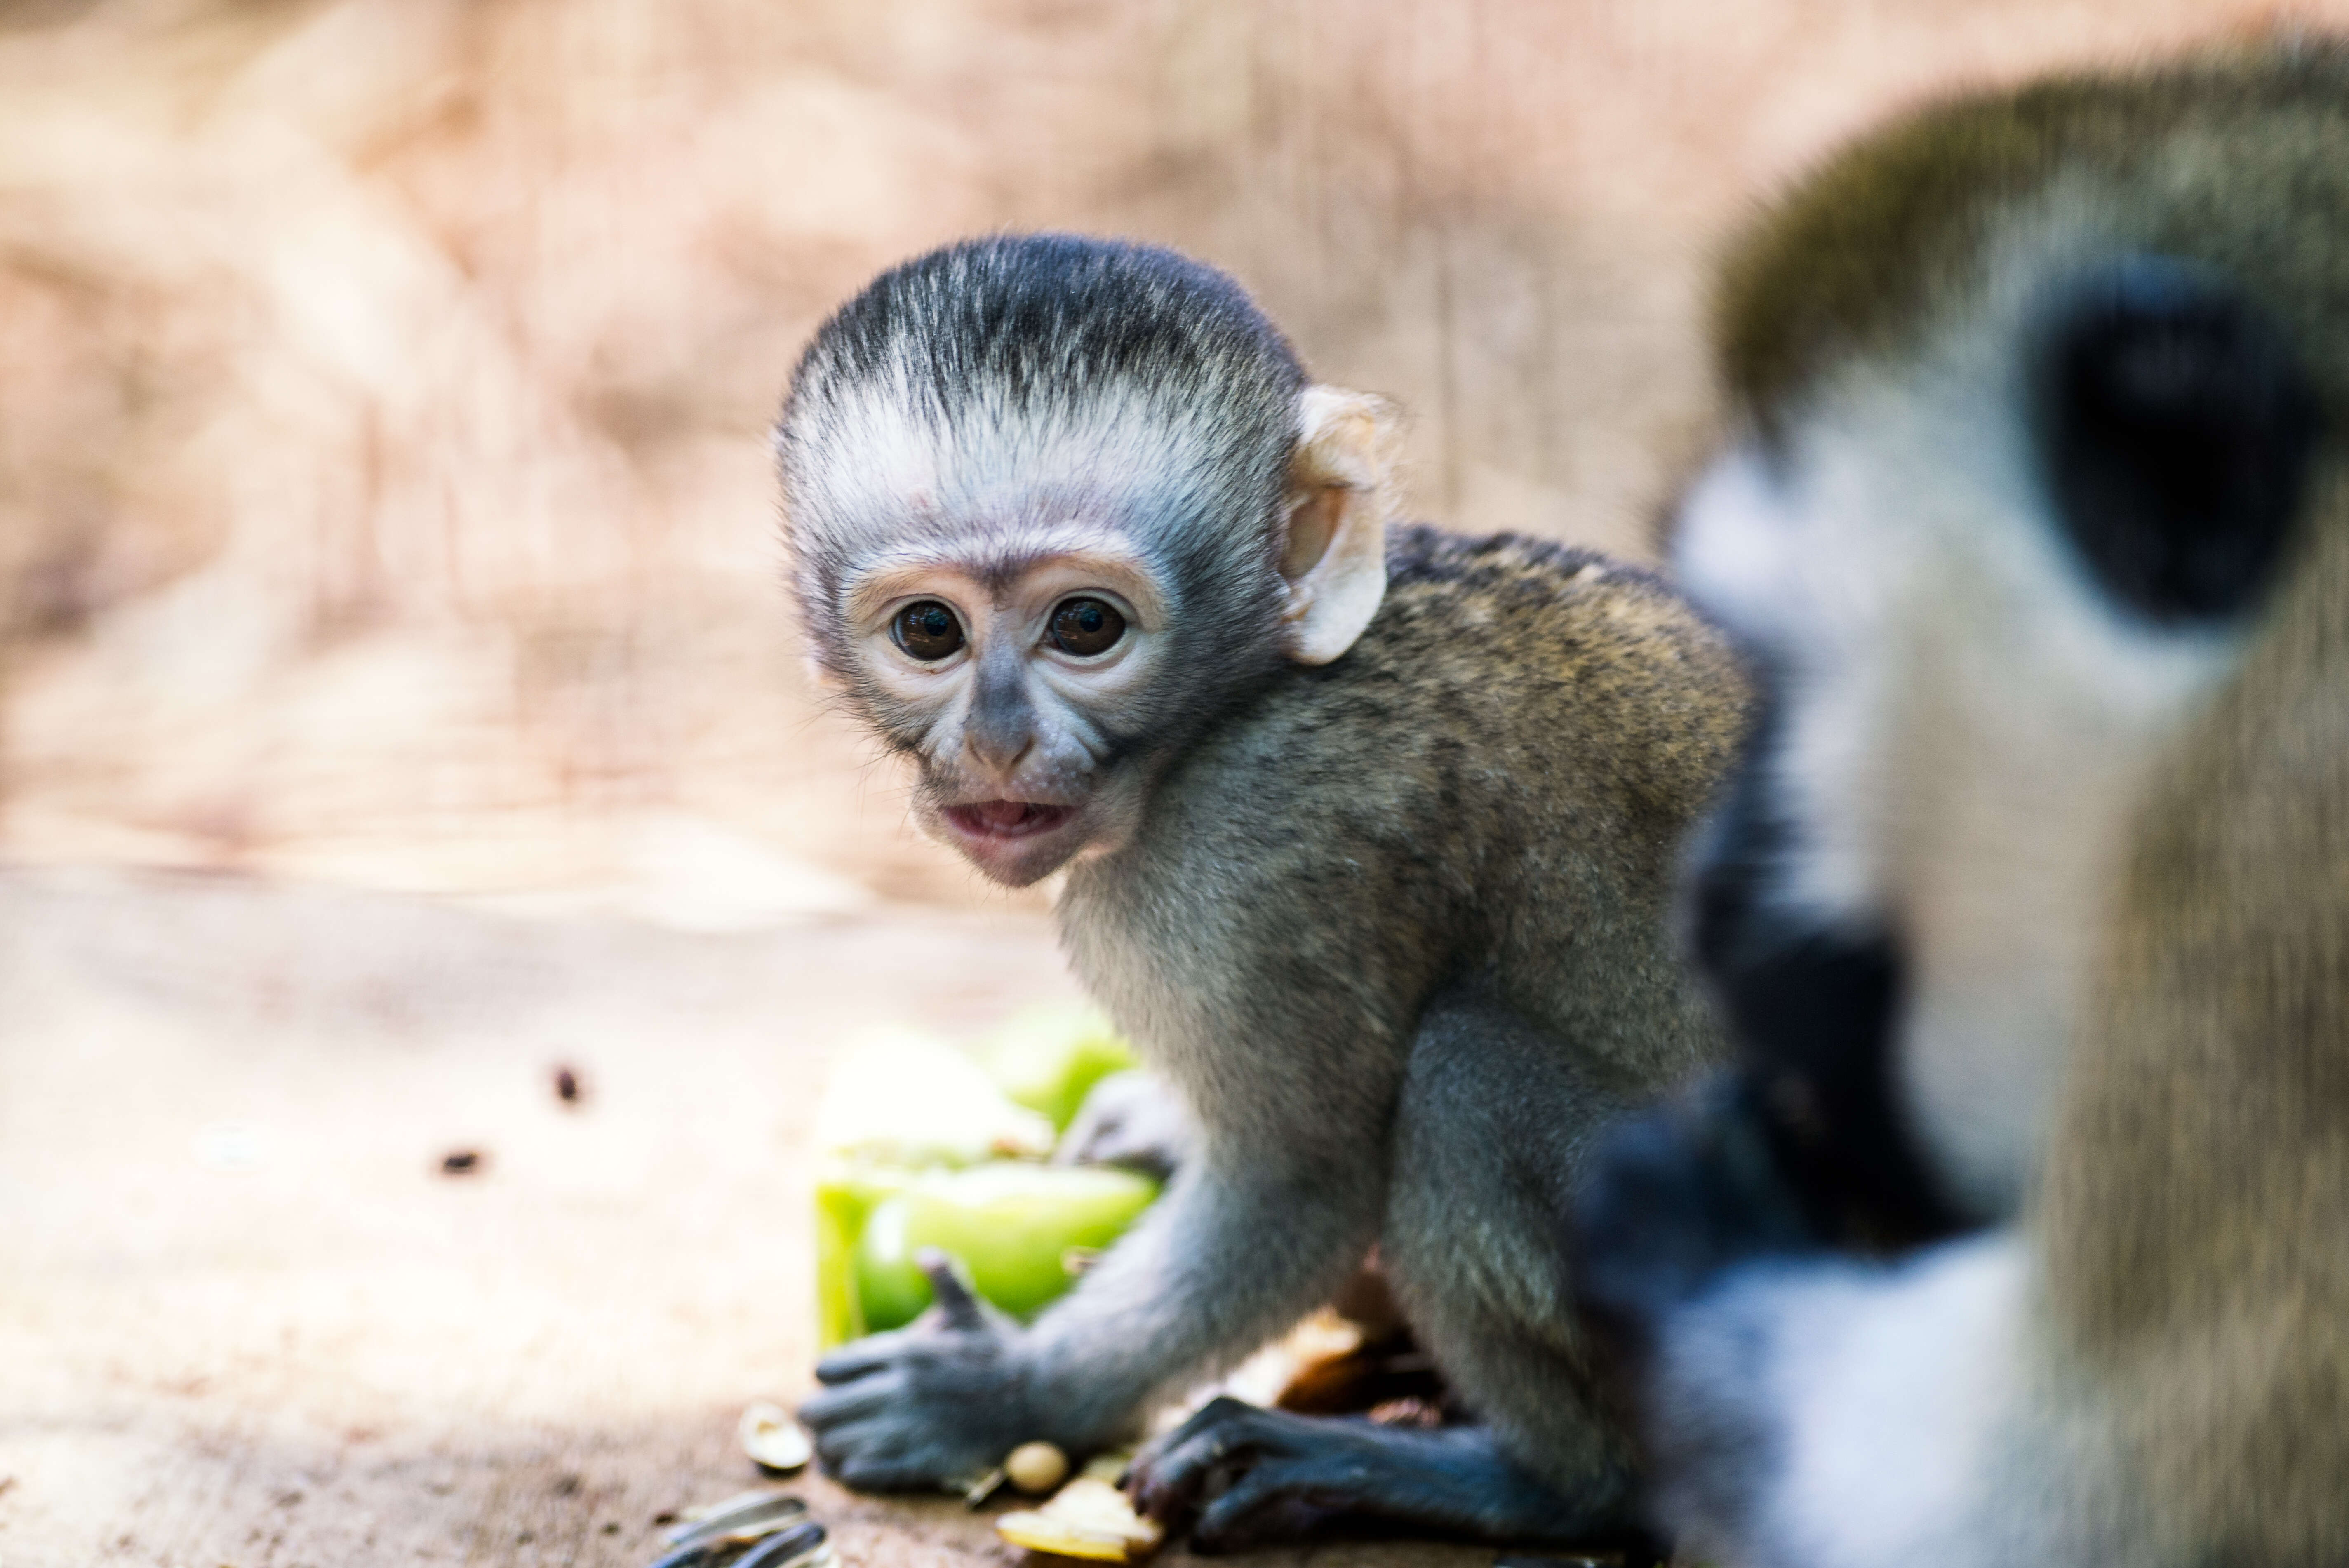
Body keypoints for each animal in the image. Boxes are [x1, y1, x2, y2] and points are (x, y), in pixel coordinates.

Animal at [780, 232, 1757, 1540]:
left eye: (1084, 625)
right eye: (929, 631)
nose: (992, 743)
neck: (1238, 703)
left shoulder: (1241, 859)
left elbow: (1304, 1180)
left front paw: (1003, 1393)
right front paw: (1146, 1122)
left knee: (1464, 1081)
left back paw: (1524, 1482)